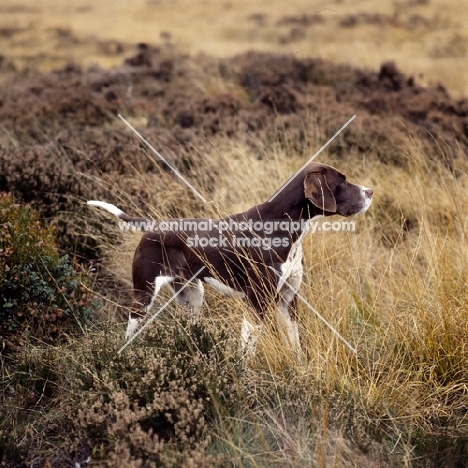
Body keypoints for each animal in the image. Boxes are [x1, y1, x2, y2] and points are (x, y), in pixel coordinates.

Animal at [88, 163, 372, 352]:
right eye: (342, 182)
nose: (370, 191)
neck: (284, 228)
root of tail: (152, 226)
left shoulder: (288, 299)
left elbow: (296, 346)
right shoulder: (257, 302)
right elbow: (247, 350)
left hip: (192, 297)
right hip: (143, 296)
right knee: (130, 331)